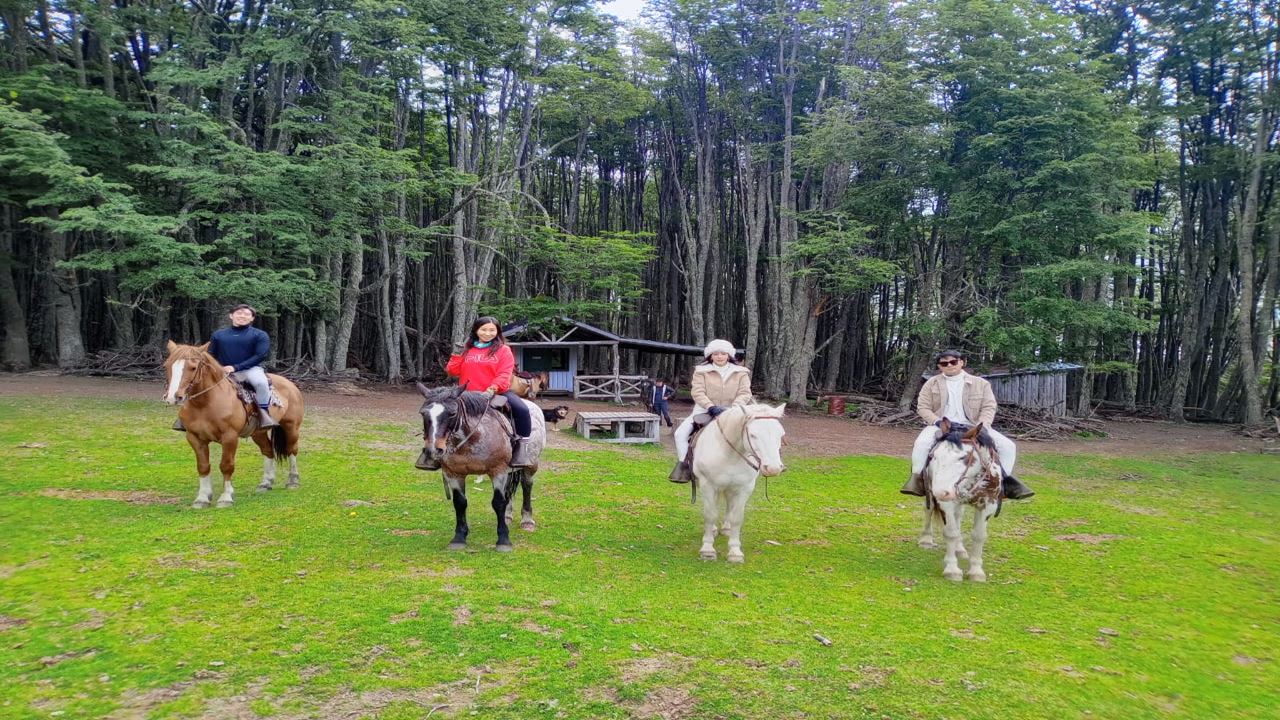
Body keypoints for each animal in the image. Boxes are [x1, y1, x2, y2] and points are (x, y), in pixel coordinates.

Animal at [162, 340, 304, 504]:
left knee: (291, 450)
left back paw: (293, 481)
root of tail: (290, 384)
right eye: (167, 366)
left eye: (193, 367)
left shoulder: (229, 437)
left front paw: (226, 497)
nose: (173, 397)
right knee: (268, 451)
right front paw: (202, 498)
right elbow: (203, 466)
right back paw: (265, 483)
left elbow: (226, 465)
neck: (205, 404)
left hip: (291, 427)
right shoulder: (194, 438)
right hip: (258, 433)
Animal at [414, 384, 545, 550]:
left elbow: (498, 502)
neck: (473, 438)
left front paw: (503, 540)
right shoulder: (453, 473)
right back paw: (507, 516)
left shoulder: (498, 471)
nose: (433, 450)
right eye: (423, 413)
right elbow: (460, 503)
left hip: (531, 465)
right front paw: (459, 538)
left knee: (527, 486)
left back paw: (527, 520)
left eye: (452, 413)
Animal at [691, 404, 788, 561]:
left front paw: (735, 552)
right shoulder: (708, 486)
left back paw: (727, 528)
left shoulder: (744, 488)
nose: (773, 468)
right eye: (753, 435)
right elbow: (710, 514)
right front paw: (707, 549)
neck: (729, 455)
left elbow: (736, 517)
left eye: (780, 434)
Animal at [921, 417, 1008, 579]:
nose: (941, 492)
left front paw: (976, 571)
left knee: (958, 518)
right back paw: (926, 540)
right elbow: (950, 532)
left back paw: (960, 549)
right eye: (934, 456)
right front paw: (952, 569)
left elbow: (979, 535)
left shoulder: (988, 504)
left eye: (963, 457)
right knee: (929, 510)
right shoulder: (946, 503)